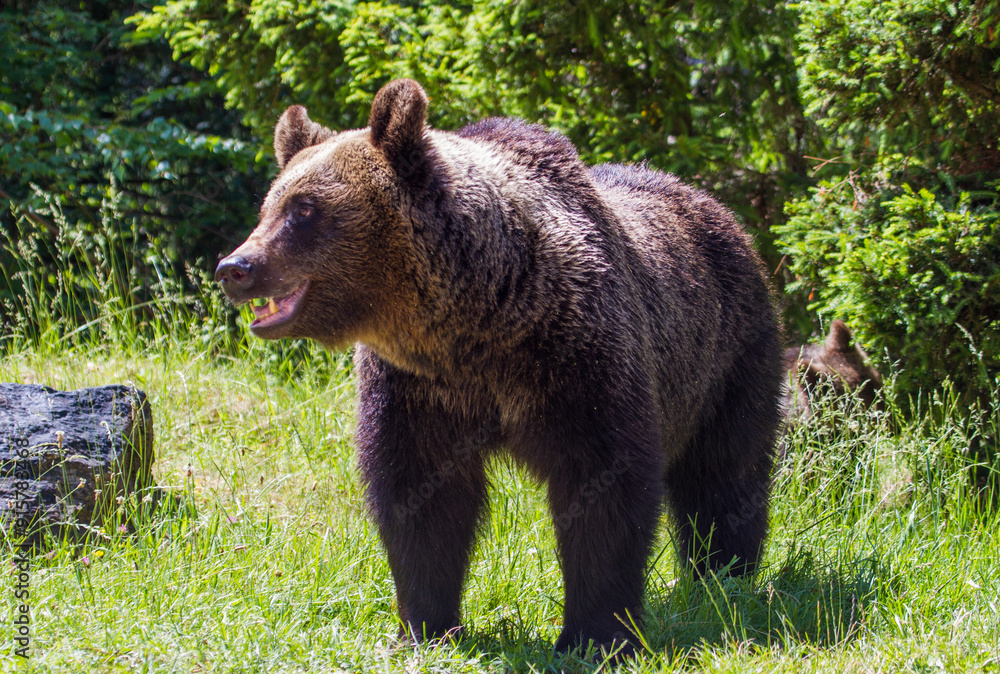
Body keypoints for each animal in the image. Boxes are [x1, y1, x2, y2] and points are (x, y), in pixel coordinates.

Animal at [215, 78, 783, 654]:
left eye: (304, 208)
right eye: (270, 205)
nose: (234, 266)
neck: (481, 322)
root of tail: (716, 207)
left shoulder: (579, 358)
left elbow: (604, 486)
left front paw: (594, 634)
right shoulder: (416, 388)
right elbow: (421, 498)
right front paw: (423, 625)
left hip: (729, 357)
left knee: (725, 470)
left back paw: (724, 576)